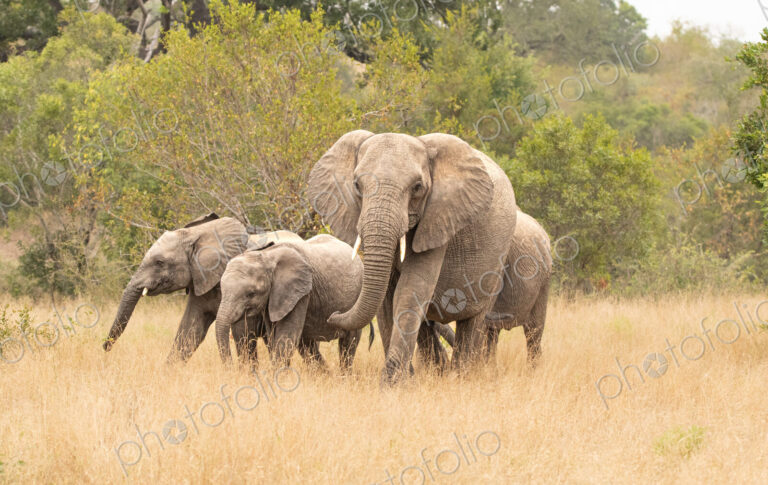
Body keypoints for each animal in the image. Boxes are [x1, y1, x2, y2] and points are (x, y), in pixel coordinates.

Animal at [101, 212, 307, 364]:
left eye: (159, 262)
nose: (104, 347)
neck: (196, 234)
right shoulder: (202, 280)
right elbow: (191, 329)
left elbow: (242, 331)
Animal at [214, 234, 366, 370]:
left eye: (251, 294)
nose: (230, 367)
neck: (267, 255)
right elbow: (273, 337)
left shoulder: (300, 292)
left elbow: (286, 337)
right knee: (307, 345)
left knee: (348, 343)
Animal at [307, 131, 519, 384]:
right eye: (357, 185)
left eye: (418, 187)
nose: (333, 315)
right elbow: (387, 298)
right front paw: (405, 381)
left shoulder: (440, 216)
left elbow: (410, 289)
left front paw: (392, 384)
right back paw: (436, 370)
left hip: (499, 256)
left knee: (473, 320)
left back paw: (461, 376)